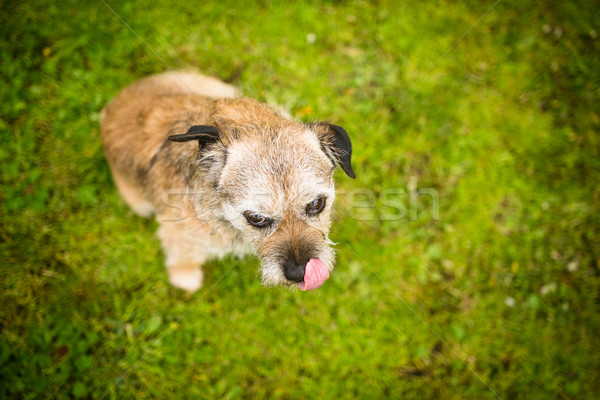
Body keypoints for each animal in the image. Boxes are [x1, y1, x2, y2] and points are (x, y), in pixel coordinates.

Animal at [98, 71, 352, 290]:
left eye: (316, 204)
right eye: (255, 218)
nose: (299, 273)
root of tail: (108, 108)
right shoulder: (179, 233)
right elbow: (184, 257)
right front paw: (185, 277)